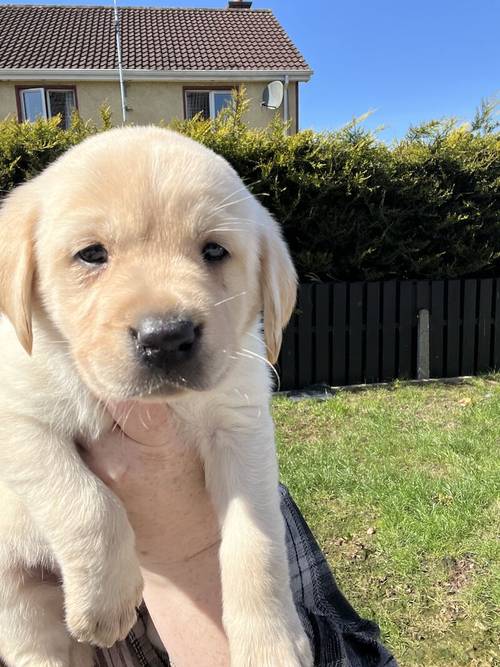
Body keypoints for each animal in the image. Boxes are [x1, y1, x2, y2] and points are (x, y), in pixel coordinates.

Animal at [0, 126, 312, 667]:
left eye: (214, 251)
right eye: (92, 254)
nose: (166, 337)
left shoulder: (242, 428)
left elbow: (257, 540)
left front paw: (271, 642)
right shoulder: (15, 417)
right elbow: (84, 501)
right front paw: (103, 603)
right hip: (14, 594)